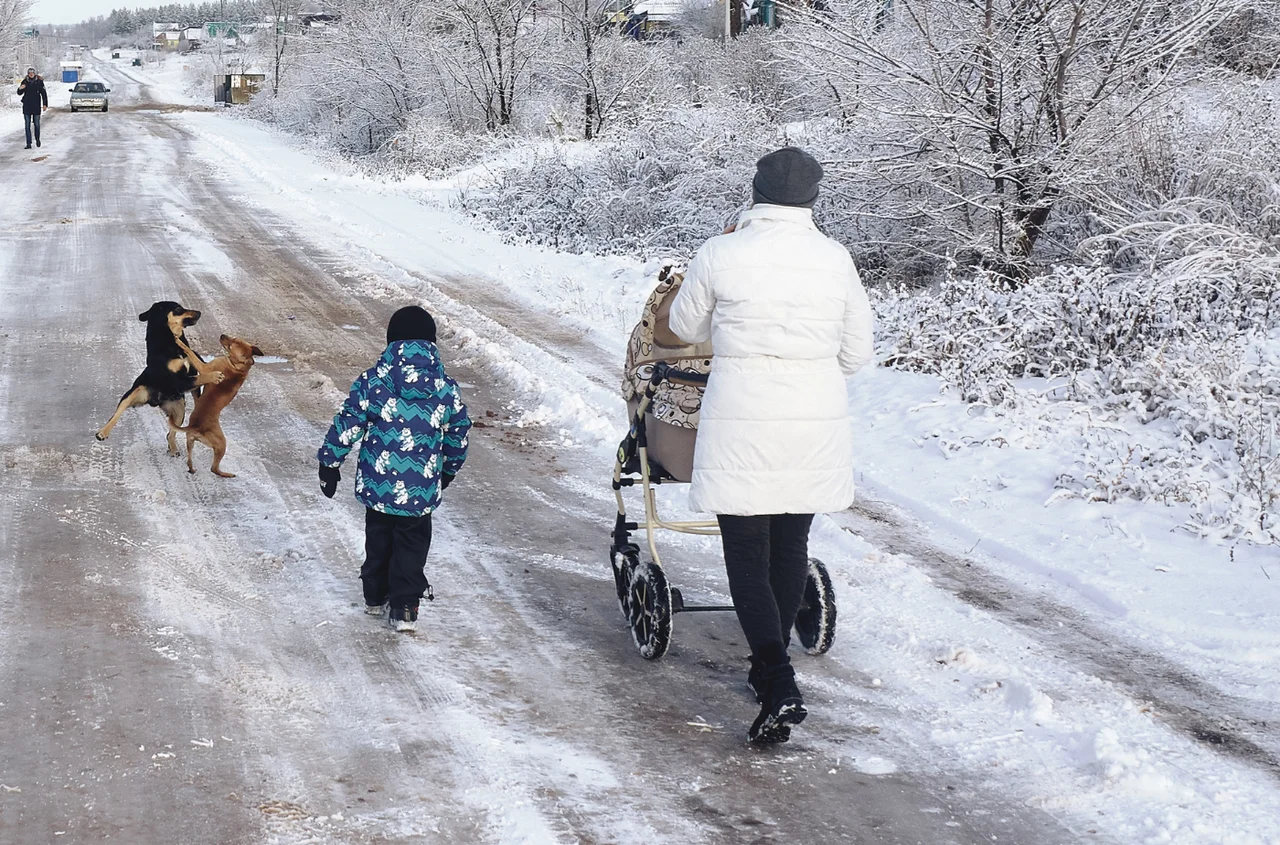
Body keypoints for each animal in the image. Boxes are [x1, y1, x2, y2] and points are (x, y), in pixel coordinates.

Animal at [94, 300, 225, 453]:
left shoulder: (194, 370)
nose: (199, 312)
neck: (171, 342)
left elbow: (199, 383)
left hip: (179, 411)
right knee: (115, 416)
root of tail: (155, 400)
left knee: (170, 433)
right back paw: (102, 432)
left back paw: (173, 449)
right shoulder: (178, 381)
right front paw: (215, 376)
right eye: (178, 309)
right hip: (132, 394)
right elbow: (199, 378)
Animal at [176, 335, 263, 478]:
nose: (222, 335)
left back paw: (227, 474)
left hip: (222, 444)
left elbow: (189, 352)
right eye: (235, 338)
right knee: (191, 461)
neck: (238, 367)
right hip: (191, 441)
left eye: (232, 344)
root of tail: (197, 427)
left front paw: (180, 342)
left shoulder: (204, 368)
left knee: (214, 469)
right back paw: (193, 468)